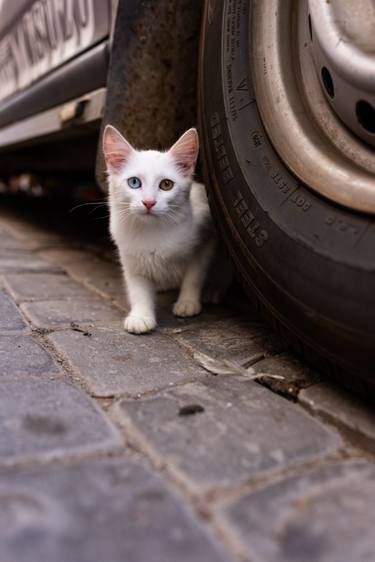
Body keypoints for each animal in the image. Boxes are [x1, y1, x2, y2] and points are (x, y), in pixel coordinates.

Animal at [103, 124, 220, 330]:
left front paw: (187, 302)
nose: (149, 202)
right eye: (134, 182)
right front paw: (141, 315)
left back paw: (213, 290)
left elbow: (194, 275)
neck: (152, 230)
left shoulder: (205, 240)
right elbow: (138, 289)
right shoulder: (131, 259)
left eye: (166, 184)